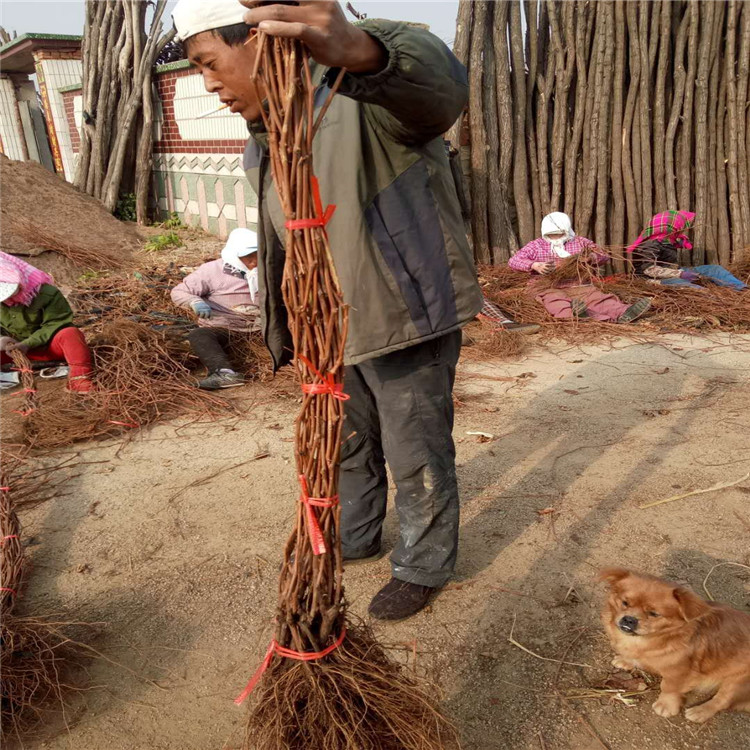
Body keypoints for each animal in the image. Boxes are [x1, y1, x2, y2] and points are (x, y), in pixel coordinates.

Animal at [604, 568, 750, 724]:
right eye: (625, 603)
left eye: (653, 613)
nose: (629, 619)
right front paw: (625, 660)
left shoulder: (678, 673)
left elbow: (669, 687)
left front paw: (666, 706)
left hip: (736, 682)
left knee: (722, 701)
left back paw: (700, 711)